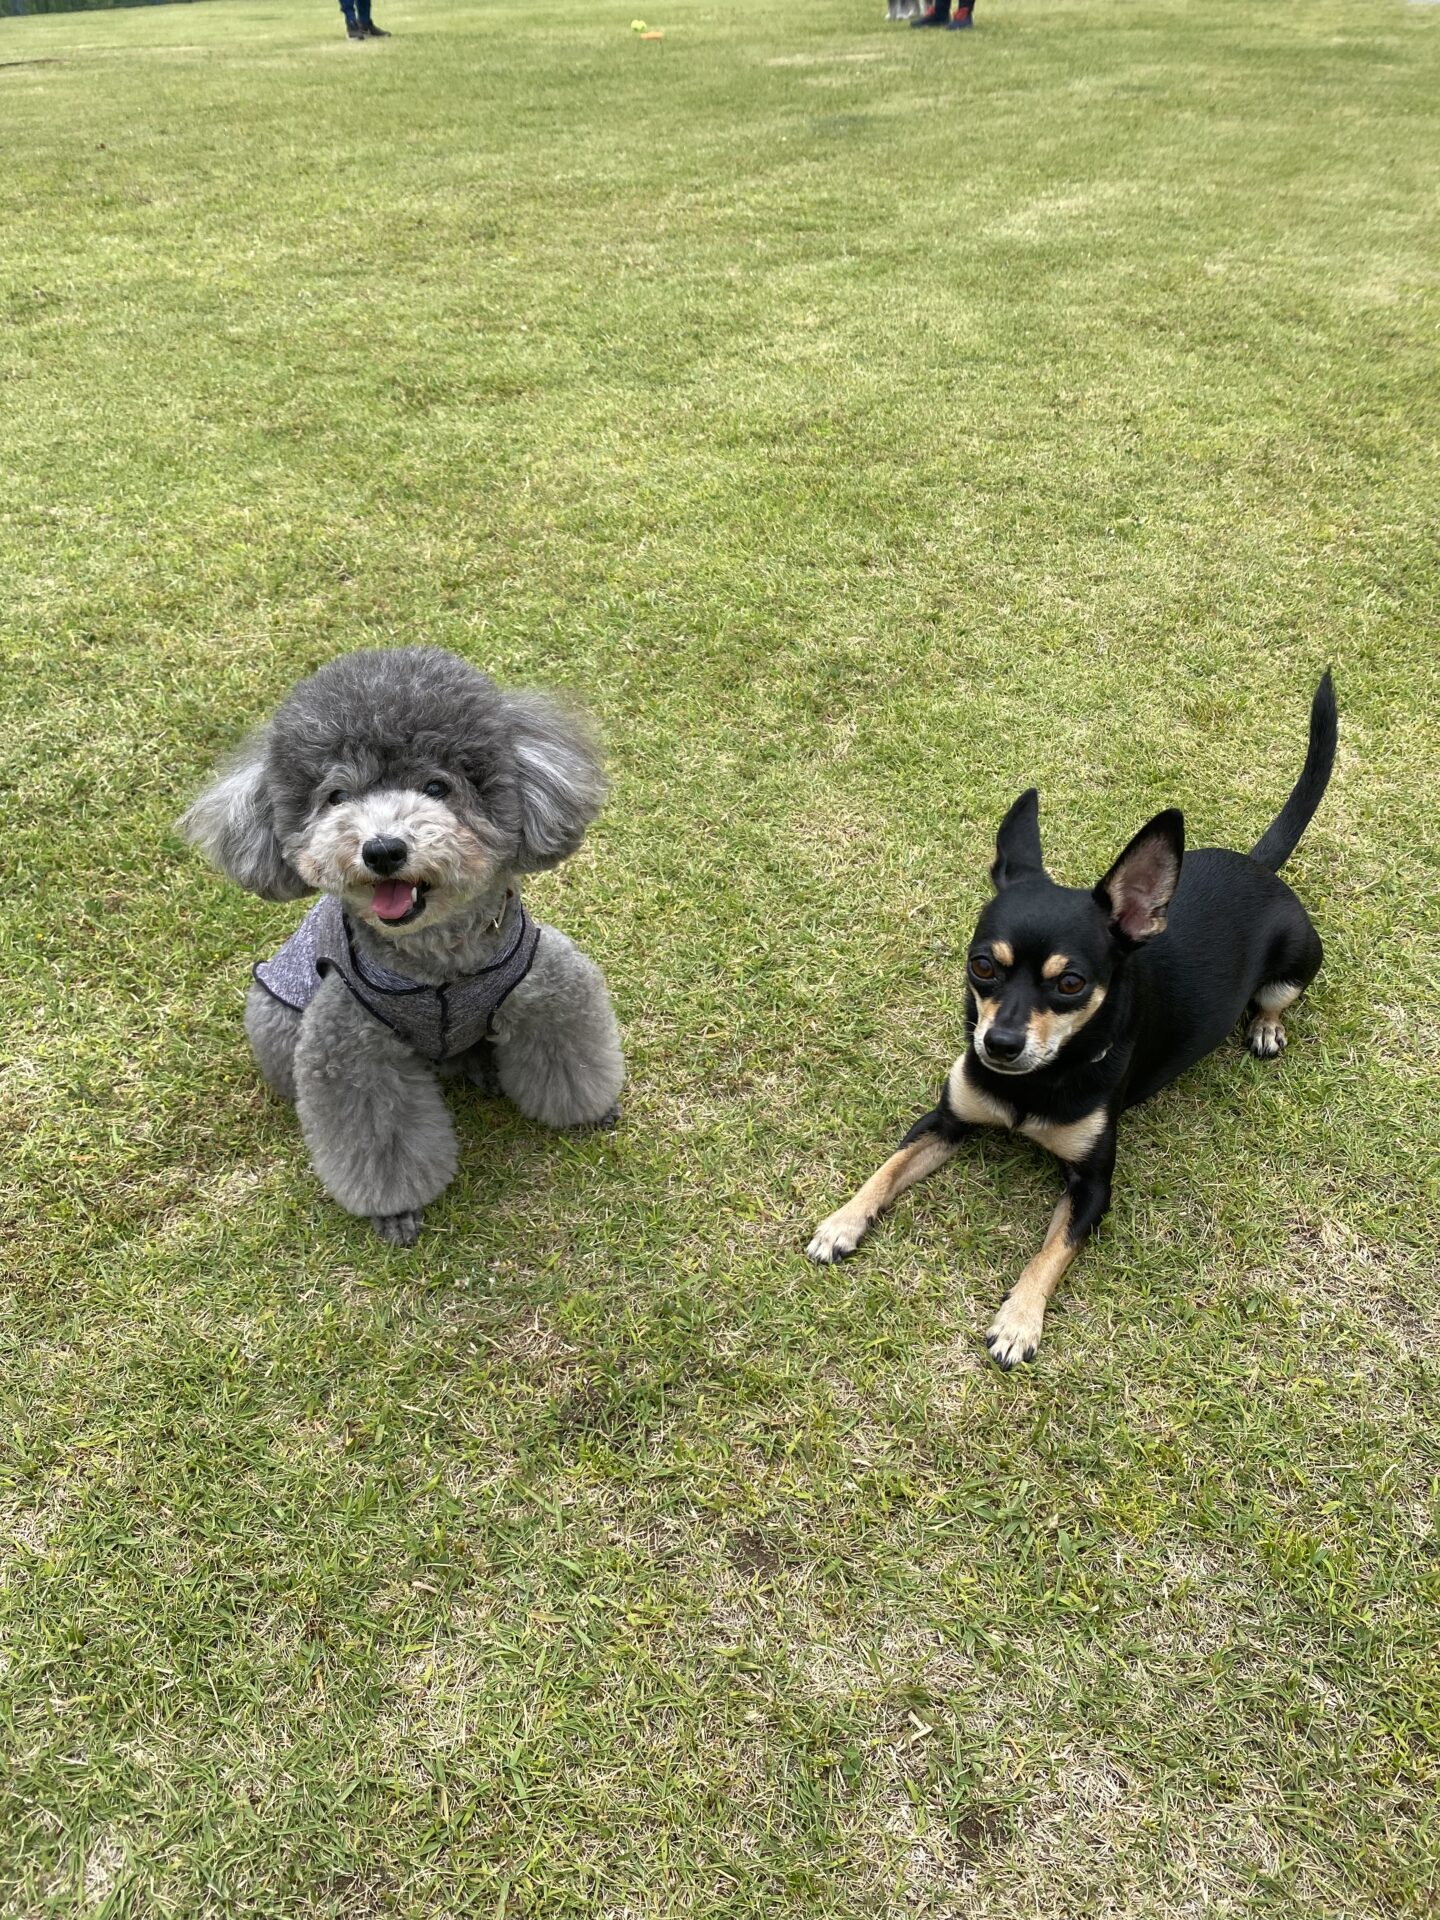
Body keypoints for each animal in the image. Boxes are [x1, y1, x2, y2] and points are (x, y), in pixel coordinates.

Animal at [180, 647, 624, 1245]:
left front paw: (591, 1112)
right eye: (337, 797)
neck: (437, 962)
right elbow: (377, 1141)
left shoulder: (549, 987)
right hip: (274, 1013)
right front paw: (395, 1209)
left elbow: (573, 1059)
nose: (383, 849)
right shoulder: (351, 1052)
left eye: (437, 787)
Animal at [807, 673, 1337, 1367]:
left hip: (1296, 962)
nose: (1000, 1044)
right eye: (982, 965)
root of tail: (1259, 866)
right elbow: (888, 1168)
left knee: (1277, 999)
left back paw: (1266, 1027)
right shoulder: (946, 1121)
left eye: (1070, 983)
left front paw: (1019, 1321)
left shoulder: (1093, 1185)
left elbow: (1052, 1251)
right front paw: (844, 1220)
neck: (1037, 1081)